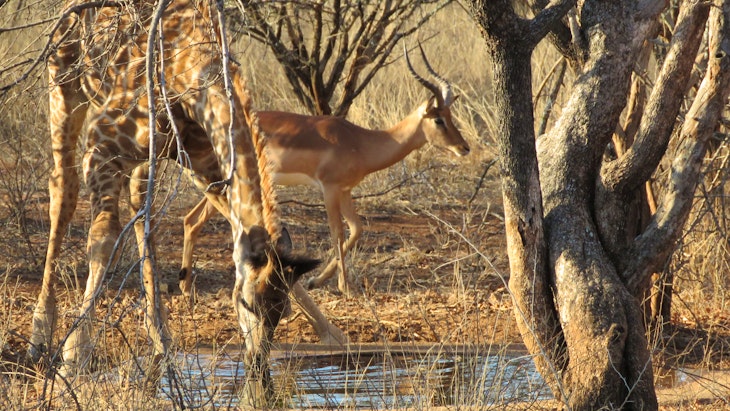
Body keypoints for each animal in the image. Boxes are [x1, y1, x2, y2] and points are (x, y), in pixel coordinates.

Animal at [179, 44, 470, 298]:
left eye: (451, 115)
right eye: (438, 119)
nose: (464, 148)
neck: (360, 141)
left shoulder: (346, 190)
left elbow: (356, 229)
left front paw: (316, 280)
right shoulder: (329, 189)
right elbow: (337, 232)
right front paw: (344, 286)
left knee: (192, 220)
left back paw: (185, 288)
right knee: (199, 220)